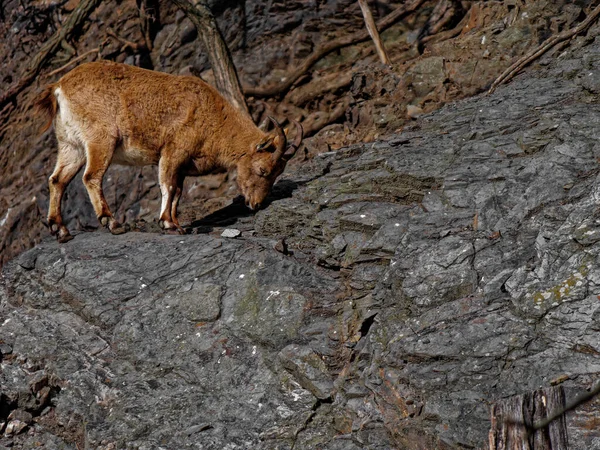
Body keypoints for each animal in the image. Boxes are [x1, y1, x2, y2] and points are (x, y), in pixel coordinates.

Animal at [35, 61, 302, 243]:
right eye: (263, 169)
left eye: (277, 174)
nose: (255, 204)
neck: (213, 119)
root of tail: (58, 88)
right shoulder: (174, 150)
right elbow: (168, 185)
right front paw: (168, 224)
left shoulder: (183, 165)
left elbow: (178, 192)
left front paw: (177, 224)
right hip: (101, 139)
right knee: (91, 177)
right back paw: (112, 223)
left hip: (71, 145)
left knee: (57, 180)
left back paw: (60, 230)